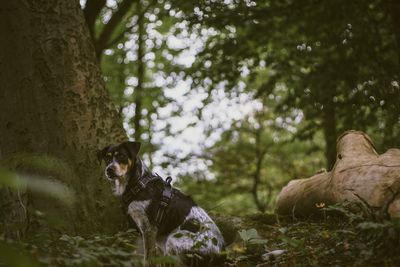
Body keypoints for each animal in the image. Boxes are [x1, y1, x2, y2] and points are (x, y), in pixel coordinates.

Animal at [95, 142, 223, 266]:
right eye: (107, 158)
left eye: (122, 156)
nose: (109, 170)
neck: (140, 183)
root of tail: (219, 255)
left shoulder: (149, 228)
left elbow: (148, 258)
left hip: (174, 240)